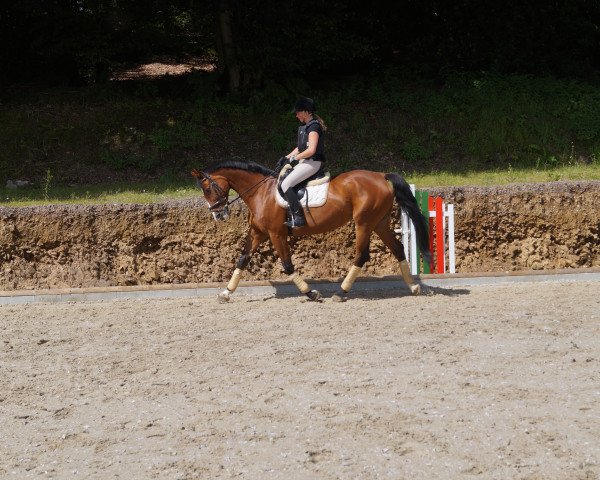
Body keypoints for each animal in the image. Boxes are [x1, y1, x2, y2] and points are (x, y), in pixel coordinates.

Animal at [190, 163, 428, 302]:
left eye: (207, 189)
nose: (218, 215)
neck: (260, 193)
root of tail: (381, 175)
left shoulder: (276, 234)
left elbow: (287, 265)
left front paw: (311, 292)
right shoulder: (258, 233)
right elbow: (242, 259)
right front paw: (225, 293)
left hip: (364, 223)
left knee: (361, 255)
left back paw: (341, 292)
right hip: (379, 222)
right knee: (398, 249)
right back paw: (414, 287)